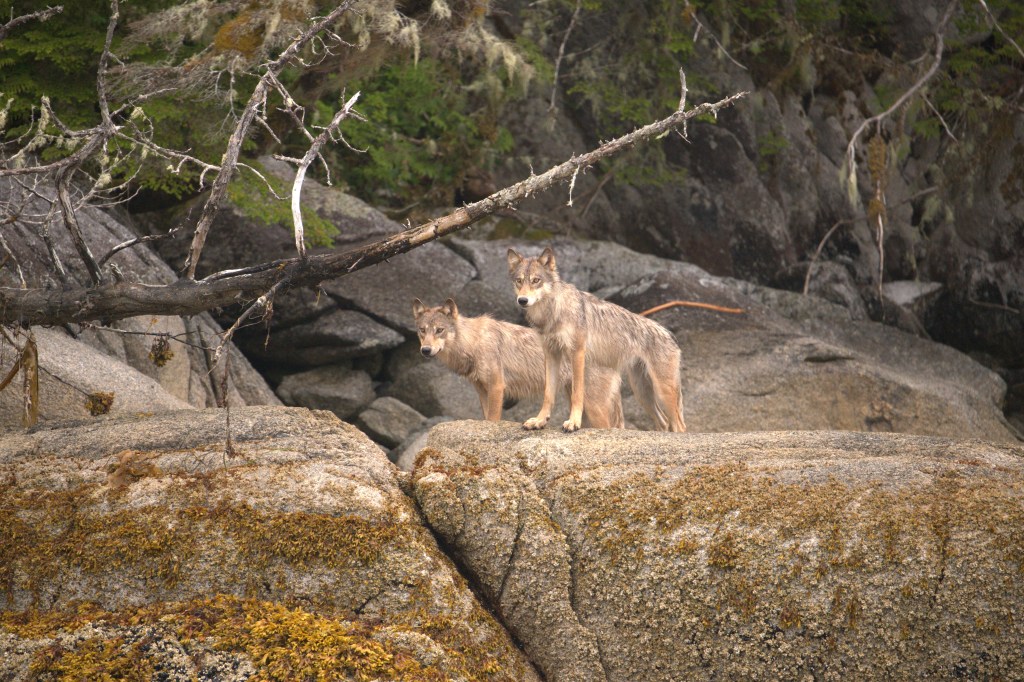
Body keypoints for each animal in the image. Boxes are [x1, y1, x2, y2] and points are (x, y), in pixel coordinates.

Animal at [412, 298, 623, 428]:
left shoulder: (497, 387)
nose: (425, 350)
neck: (473, 343)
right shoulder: (482, 390)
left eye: (439, 330)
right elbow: (486, 418)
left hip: (593, 407)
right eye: (422, 330)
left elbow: (493, 420)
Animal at [507, 246, 686, 433]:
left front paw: (574, 422)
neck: (552, 312)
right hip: (642, 392)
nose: (522, 300)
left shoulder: (577, 352)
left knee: (679, 426)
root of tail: (669, 334)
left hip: (663, 391)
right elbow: (548, 394)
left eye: (536, 280)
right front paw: (540, 420)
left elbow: (577, 393)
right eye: (519, 281)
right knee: (664, 422)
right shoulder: (551, 354)